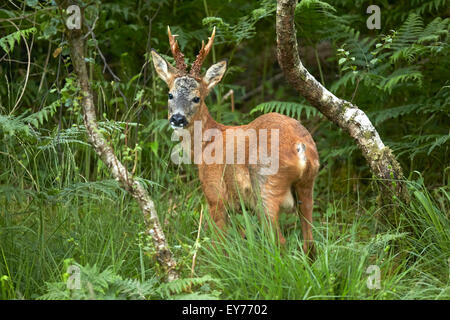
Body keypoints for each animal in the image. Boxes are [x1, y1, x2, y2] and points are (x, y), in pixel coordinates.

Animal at [151, 26, 320, 256]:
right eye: (170, 94)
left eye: (197, 98)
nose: (177, 118)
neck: (205, 144)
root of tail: (300, 147)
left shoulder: (215, 194)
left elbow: (219, 244)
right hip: (308, 186)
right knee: (310, 243)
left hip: (266, 188)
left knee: (280, 241)